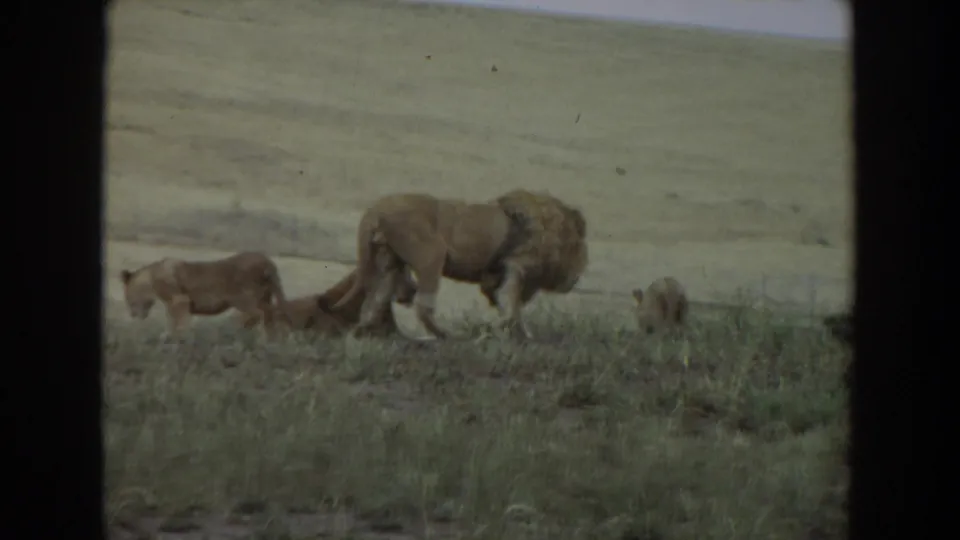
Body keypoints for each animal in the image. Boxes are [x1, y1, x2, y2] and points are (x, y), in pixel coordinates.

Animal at [119, 251, 293, 337]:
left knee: (258, 314)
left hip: (242, 298)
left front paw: (176, 339)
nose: (132, 314)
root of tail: (268, 261)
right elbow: (172, 322)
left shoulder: (179, 300)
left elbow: (178, 324)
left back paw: (239, 331)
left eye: (127, 296)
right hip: (265, 297)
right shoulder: (174, 305)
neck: (151, 277)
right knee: (269, 316)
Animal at [321, 189, 589, 341]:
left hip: (389, 263)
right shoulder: (517, 267)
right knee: (423, 306)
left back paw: (360, 333)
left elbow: (508, 305)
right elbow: (511, 305)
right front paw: (512, 332)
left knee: (373, 302)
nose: (576, 279)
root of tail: (375, 210)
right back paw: (444, 336)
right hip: (431, 257)